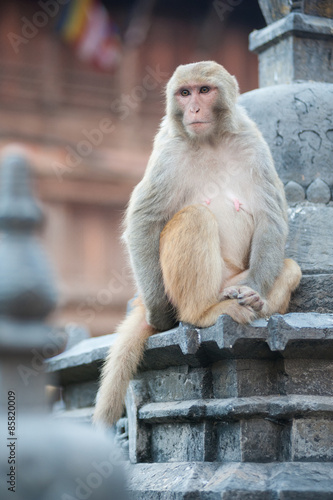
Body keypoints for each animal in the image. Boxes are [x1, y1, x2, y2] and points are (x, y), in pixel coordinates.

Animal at [92, 58, 300, 426]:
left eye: (204, 90)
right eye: (185, 93)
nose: (194, 108)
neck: (212, 140)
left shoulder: (253, 142)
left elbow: (271, 218)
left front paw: (255, 293)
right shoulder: (168, 149)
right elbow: (145, 219)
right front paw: (160, 318)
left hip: (230, 280)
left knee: (289, 267)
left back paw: (253, 303)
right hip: (181, 288)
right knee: (195, 218)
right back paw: (201, 313)